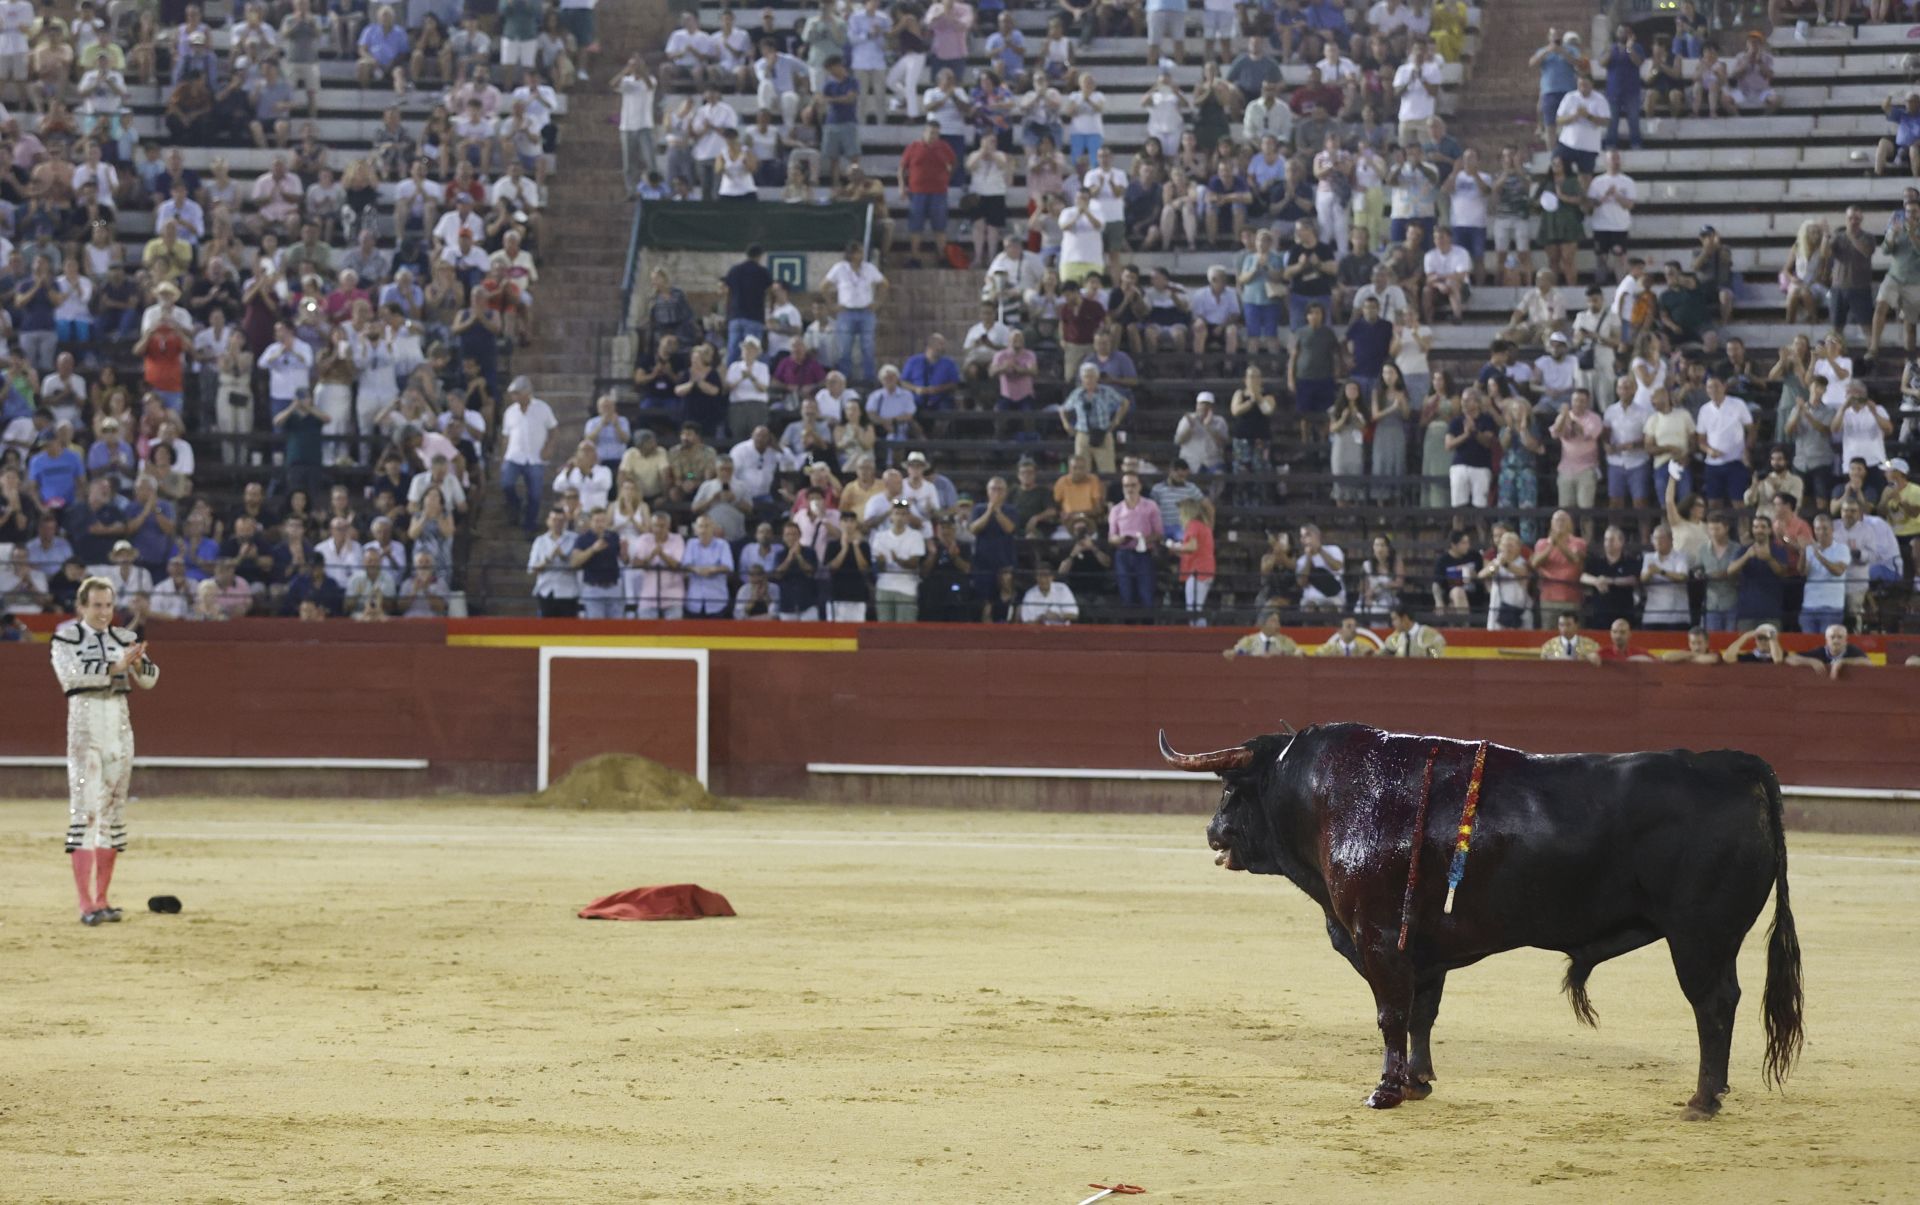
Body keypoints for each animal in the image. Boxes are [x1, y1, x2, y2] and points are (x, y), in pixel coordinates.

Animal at [1159, 721, 1804, 1112]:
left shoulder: (1378, 939)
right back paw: (1715, 1091)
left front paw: (1385, 1092)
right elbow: (1421, 1015)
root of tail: (1731, 764)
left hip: (1699, 937)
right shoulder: (1422, 950)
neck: (1330, 799)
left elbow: (1391, 1016)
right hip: (1713, 940)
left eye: (1232, 790)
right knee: (1724, 1001)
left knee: (1712, 1005)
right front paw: (1418, 1082)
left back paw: (1703, 1100)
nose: (1212, 831)